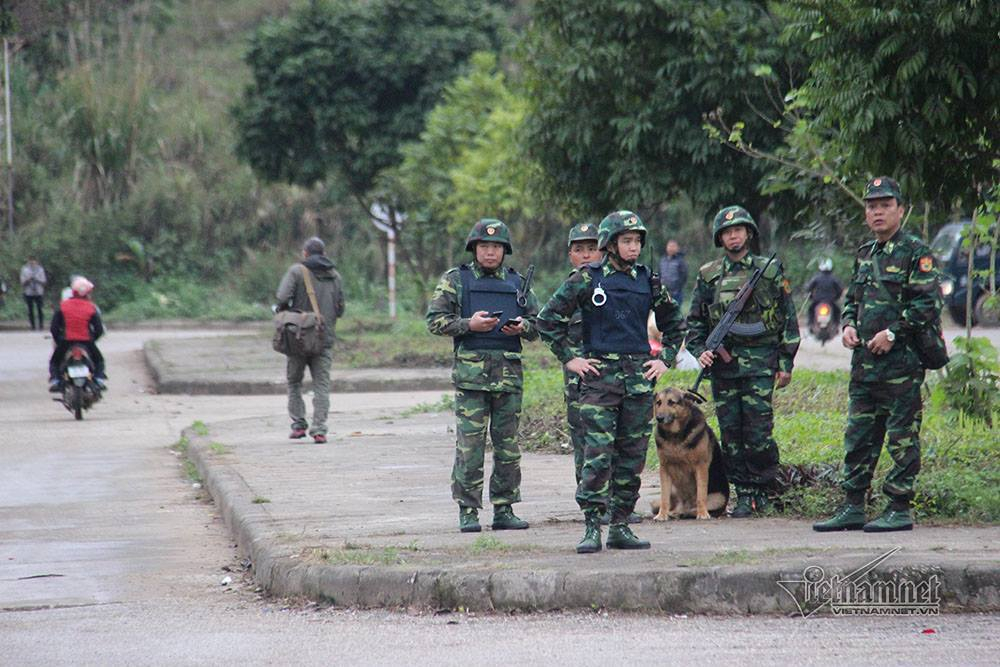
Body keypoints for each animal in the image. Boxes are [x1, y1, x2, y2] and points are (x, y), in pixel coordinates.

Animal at [648, 386, 728, 520]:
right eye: (658, 402)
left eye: (671, 402)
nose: (659, 418)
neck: (675, 436)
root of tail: (684, 506)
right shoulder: (664, 468)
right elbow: (664, 497)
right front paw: (662, 515)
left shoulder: (701, 466)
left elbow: (701, 495)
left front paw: (703, 514)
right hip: (672, 491)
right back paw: (673, 513)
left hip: (719, 498)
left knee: (693, 509)